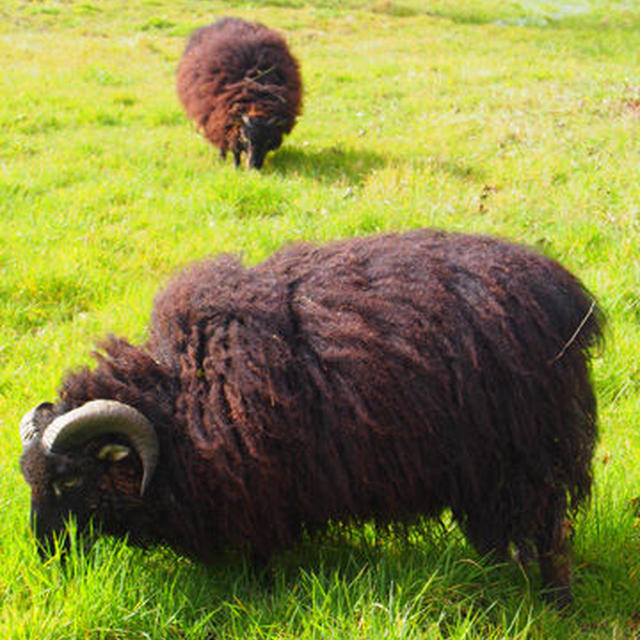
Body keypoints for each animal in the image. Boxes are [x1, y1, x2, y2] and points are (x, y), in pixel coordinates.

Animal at [17, 230, 604, 604]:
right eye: (30, 478)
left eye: (69, 478)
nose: (44, 555)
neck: (180, 407)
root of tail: (568, 298)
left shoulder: (260, 493)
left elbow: (260, 558)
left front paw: (262, 593)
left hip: (530, 456)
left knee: (552, 532)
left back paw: (554, 603)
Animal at [176, 18, 304, 170]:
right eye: (246, 138)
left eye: (268, 140)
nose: (254, 167)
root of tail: (226, 18)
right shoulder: (223, 120)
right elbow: (234, 148)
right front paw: (236, 167)